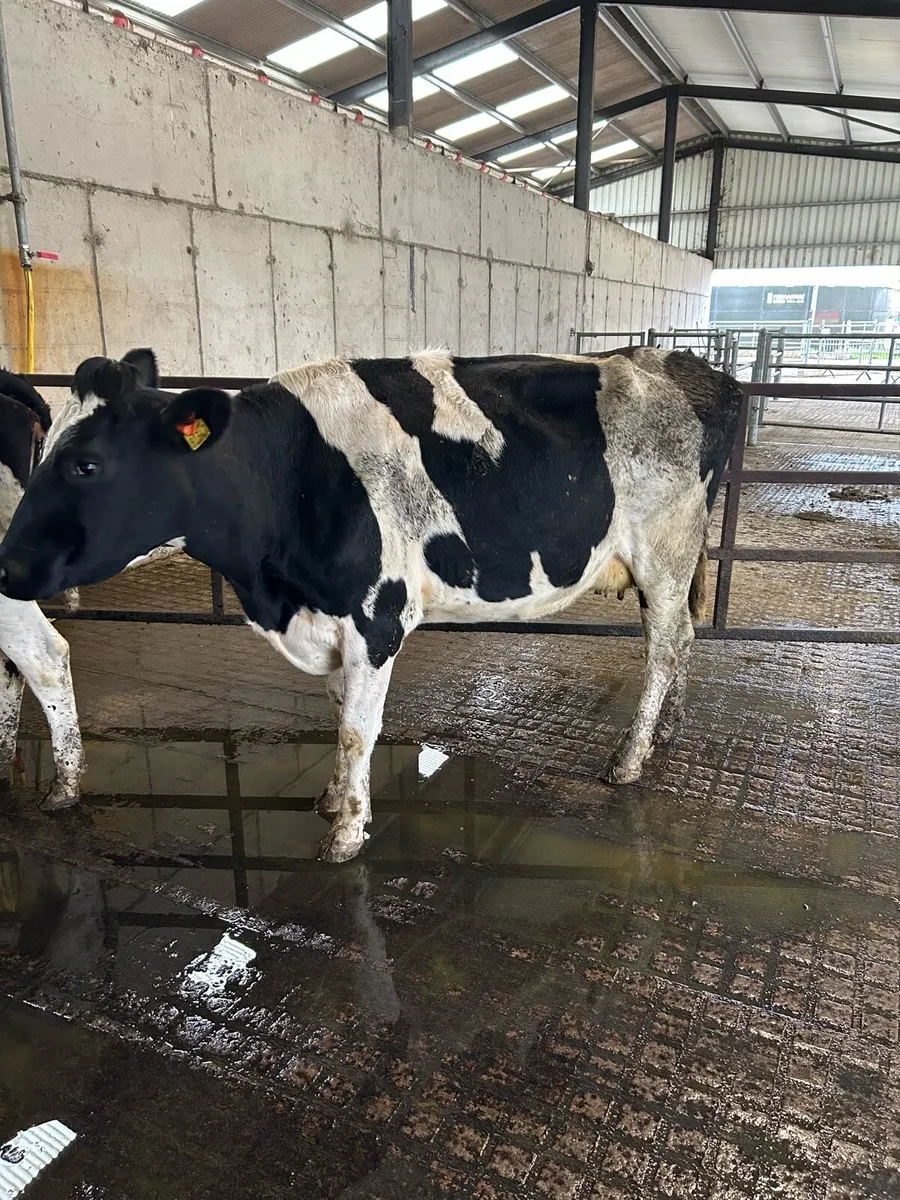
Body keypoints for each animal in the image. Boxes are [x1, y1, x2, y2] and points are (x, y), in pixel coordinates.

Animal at [0, 347, 742, 861]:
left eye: (86, 464)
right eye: (44, 449)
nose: (5, 564)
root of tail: (680, 366)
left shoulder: (375, 619)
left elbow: (358, 729)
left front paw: (347, 833)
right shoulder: (326, 621)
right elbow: (336, 714)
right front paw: (334, 798)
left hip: (665, 550)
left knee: (664, 646)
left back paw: (631, 757)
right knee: (681, 639)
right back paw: (668, 728)